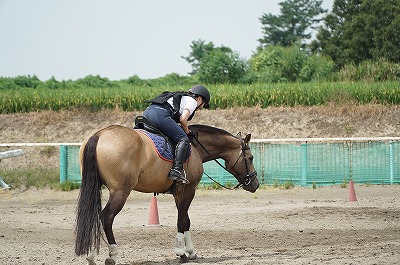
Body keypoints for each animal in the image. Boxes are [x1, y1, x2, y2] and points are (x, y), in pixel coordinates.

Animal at [74, 124, 260, 264]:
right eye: (250, 158)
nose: (255, 184)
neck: (195, 147)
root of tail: (99, 134)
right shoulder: (188, 190)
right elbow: (182, 220)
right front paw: (182, 253)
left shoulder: (179, 193)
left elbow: (186, 220)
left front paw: (191, 252)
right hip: (120, 192)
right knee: (106, 217)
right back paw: (112, 254)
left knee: (93, 217)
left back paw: (90, 255)